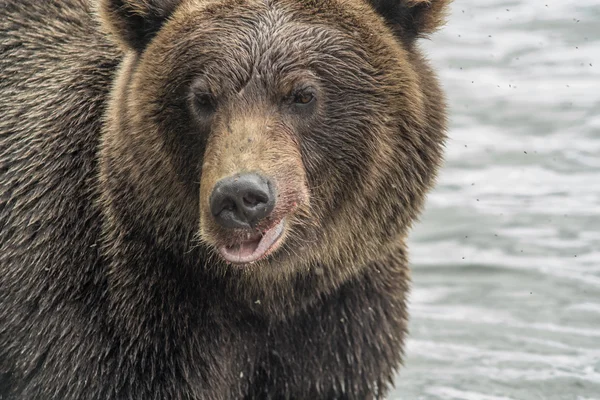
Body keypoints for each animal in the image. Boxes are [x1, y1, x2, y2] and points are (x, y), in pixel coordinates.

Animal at [1, 0, 450, 398]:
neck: (263, 292)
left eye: (302, 94)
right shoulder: (106, 322)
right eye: (202, 97)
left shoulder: (338, 326)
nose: (240, 196)